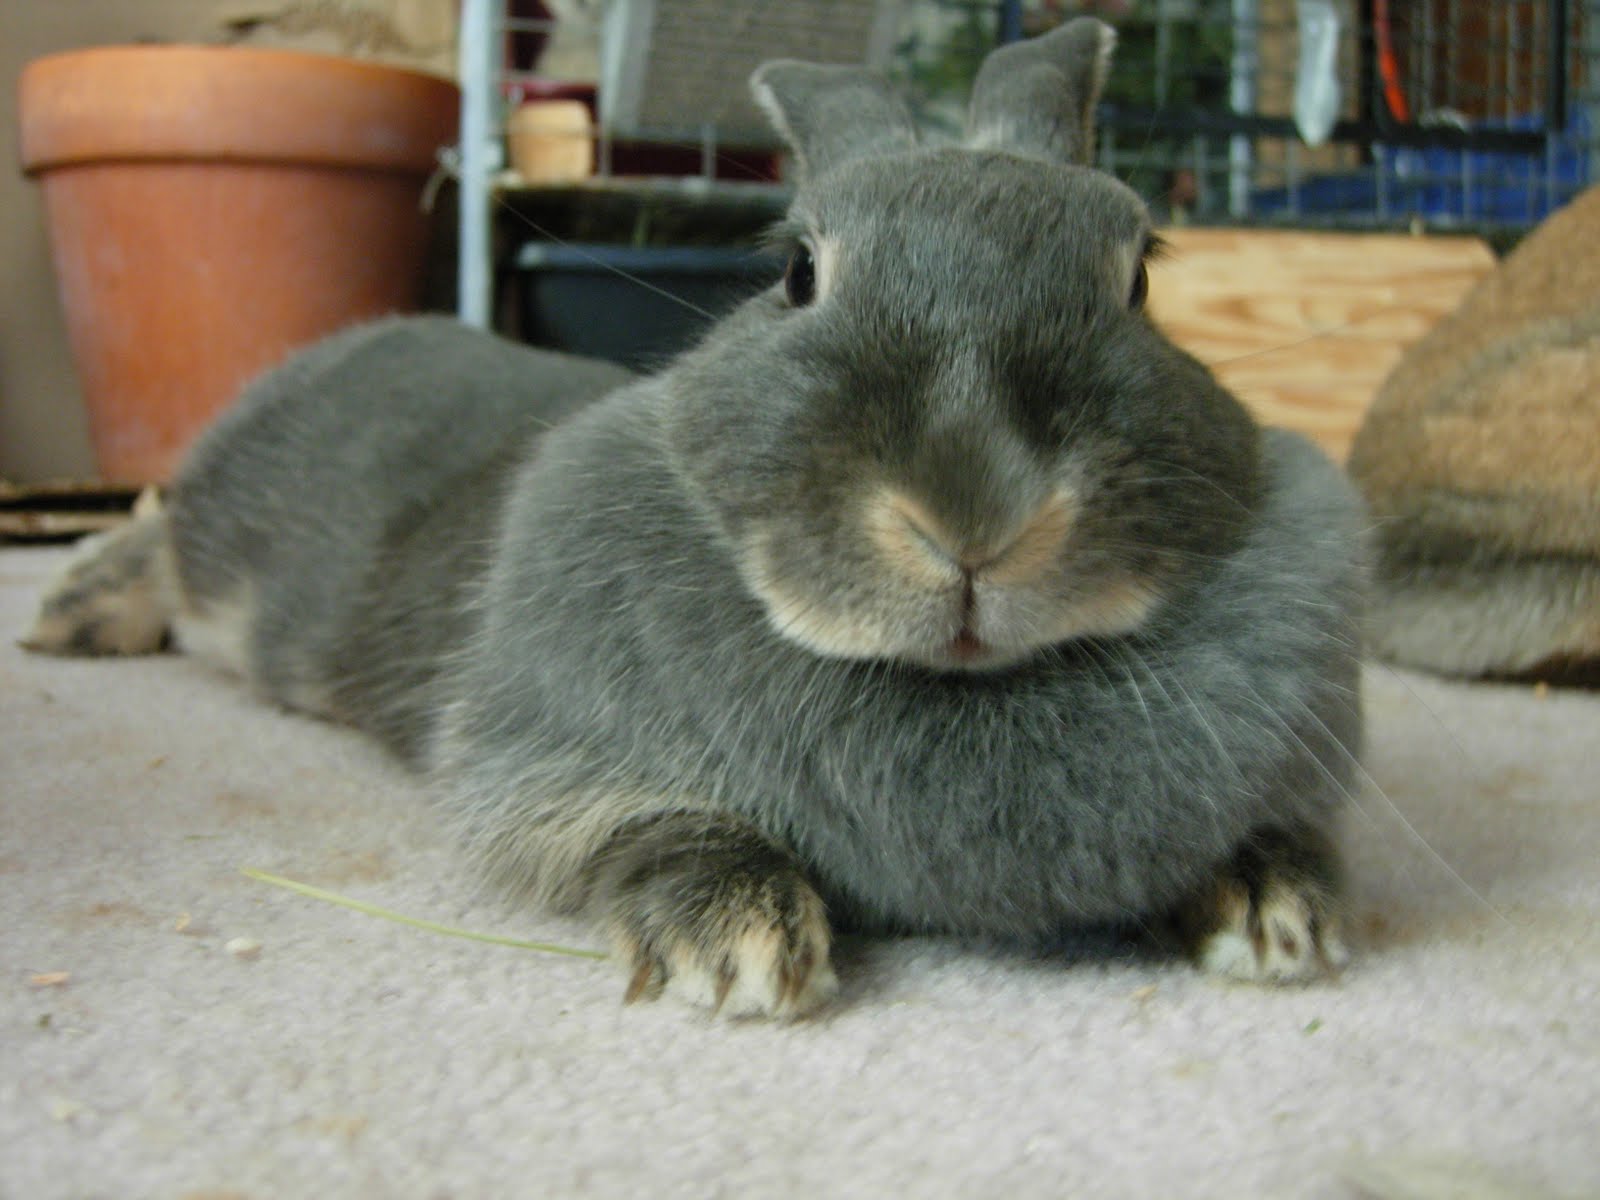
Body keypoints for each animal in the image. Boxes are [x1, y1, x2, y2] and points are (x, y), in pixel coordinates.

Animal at [24, 17, 1367, 1018]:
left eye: (1138, 279)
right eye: (796, 274)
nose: (973, 512)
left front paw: (1274, 905)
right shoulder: (540, 758)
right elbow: (650, 825)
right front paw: (739, 947)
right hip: (230, 536)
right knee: (160, 534)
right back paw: (70, 613)